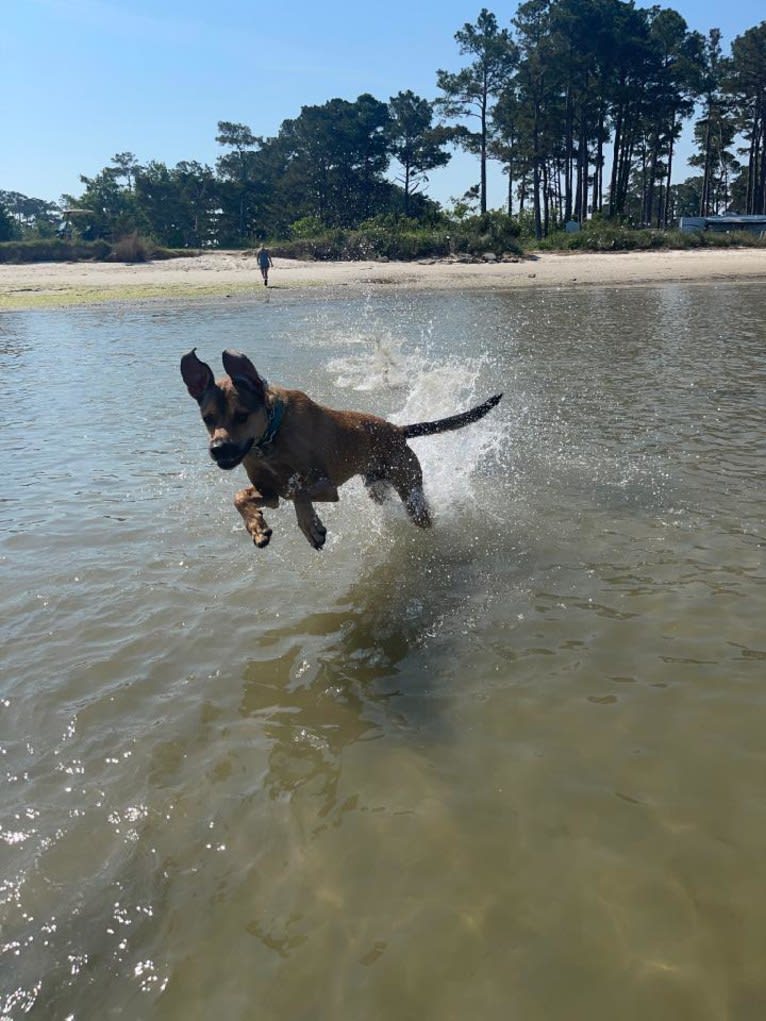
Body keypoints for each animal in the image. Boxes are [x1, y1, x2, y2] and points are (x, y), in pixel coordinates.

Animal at [179, 347, 504, 547]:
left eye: (242, 416)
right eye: (207, 418)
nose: (218, 448)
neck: (271, 437)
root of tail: (398, 430)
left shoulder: (325, 485)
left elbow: (297, 490)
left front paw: (311, 526)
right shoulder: (268, 491)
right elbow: (240, 497)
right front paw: (257, 527)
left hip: (410, 488)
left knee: (421, 513)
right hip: (376, 487)